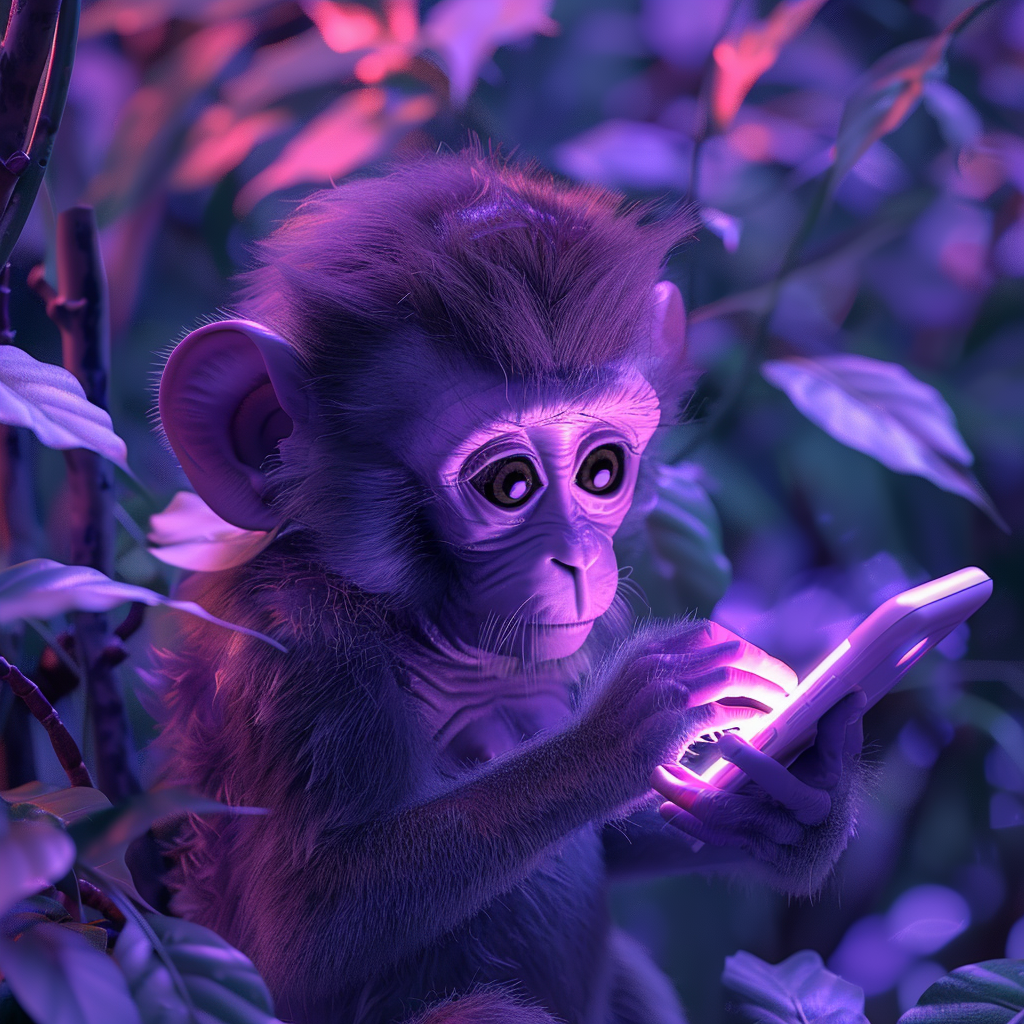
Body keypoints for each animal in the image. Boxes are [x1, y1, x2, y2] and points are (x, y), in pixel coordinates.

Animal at [151, 150, 865, 1024]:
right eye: (509, 485)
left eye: (603, 470)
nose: (578, 559)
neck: (415, 627)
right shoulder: (301, 655)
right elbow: (296, 943)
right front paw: (625, 730)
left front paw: (797, 796)